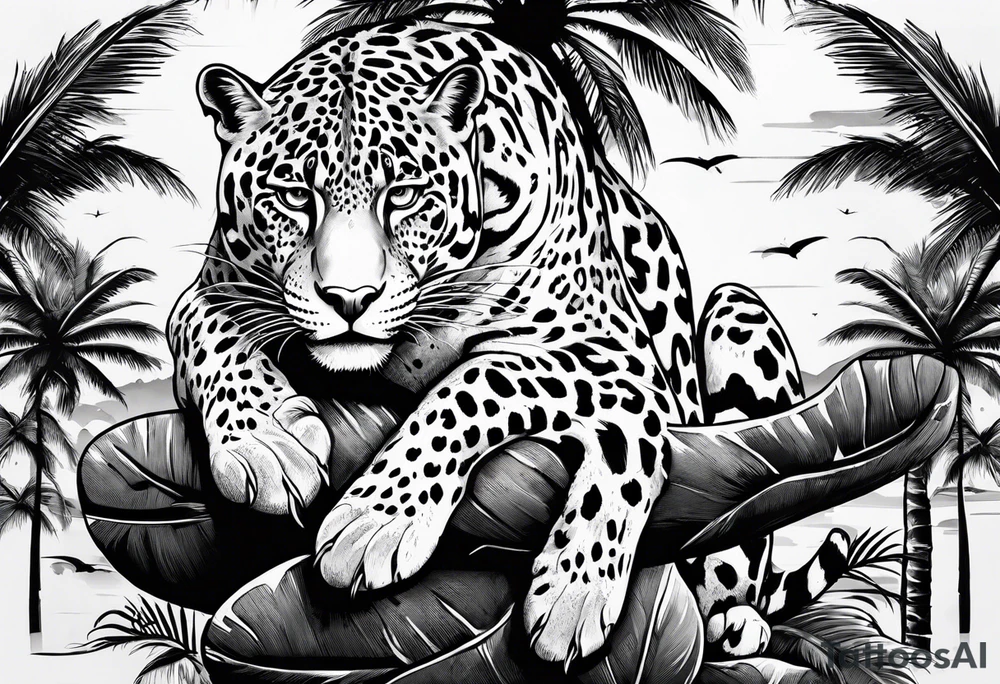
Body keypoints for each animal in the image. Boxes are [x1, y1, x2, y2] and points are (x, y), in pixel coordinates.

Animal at [168, 20, 846, 668]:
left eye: (404, 194)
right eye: (292, 195)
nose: (350, 298)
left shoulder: (620, 360)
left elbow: (479, 384)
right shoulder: (214, 289)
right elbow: (210, 330)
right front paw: (265, 444)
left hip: (739, 315)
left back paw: (736, 621)